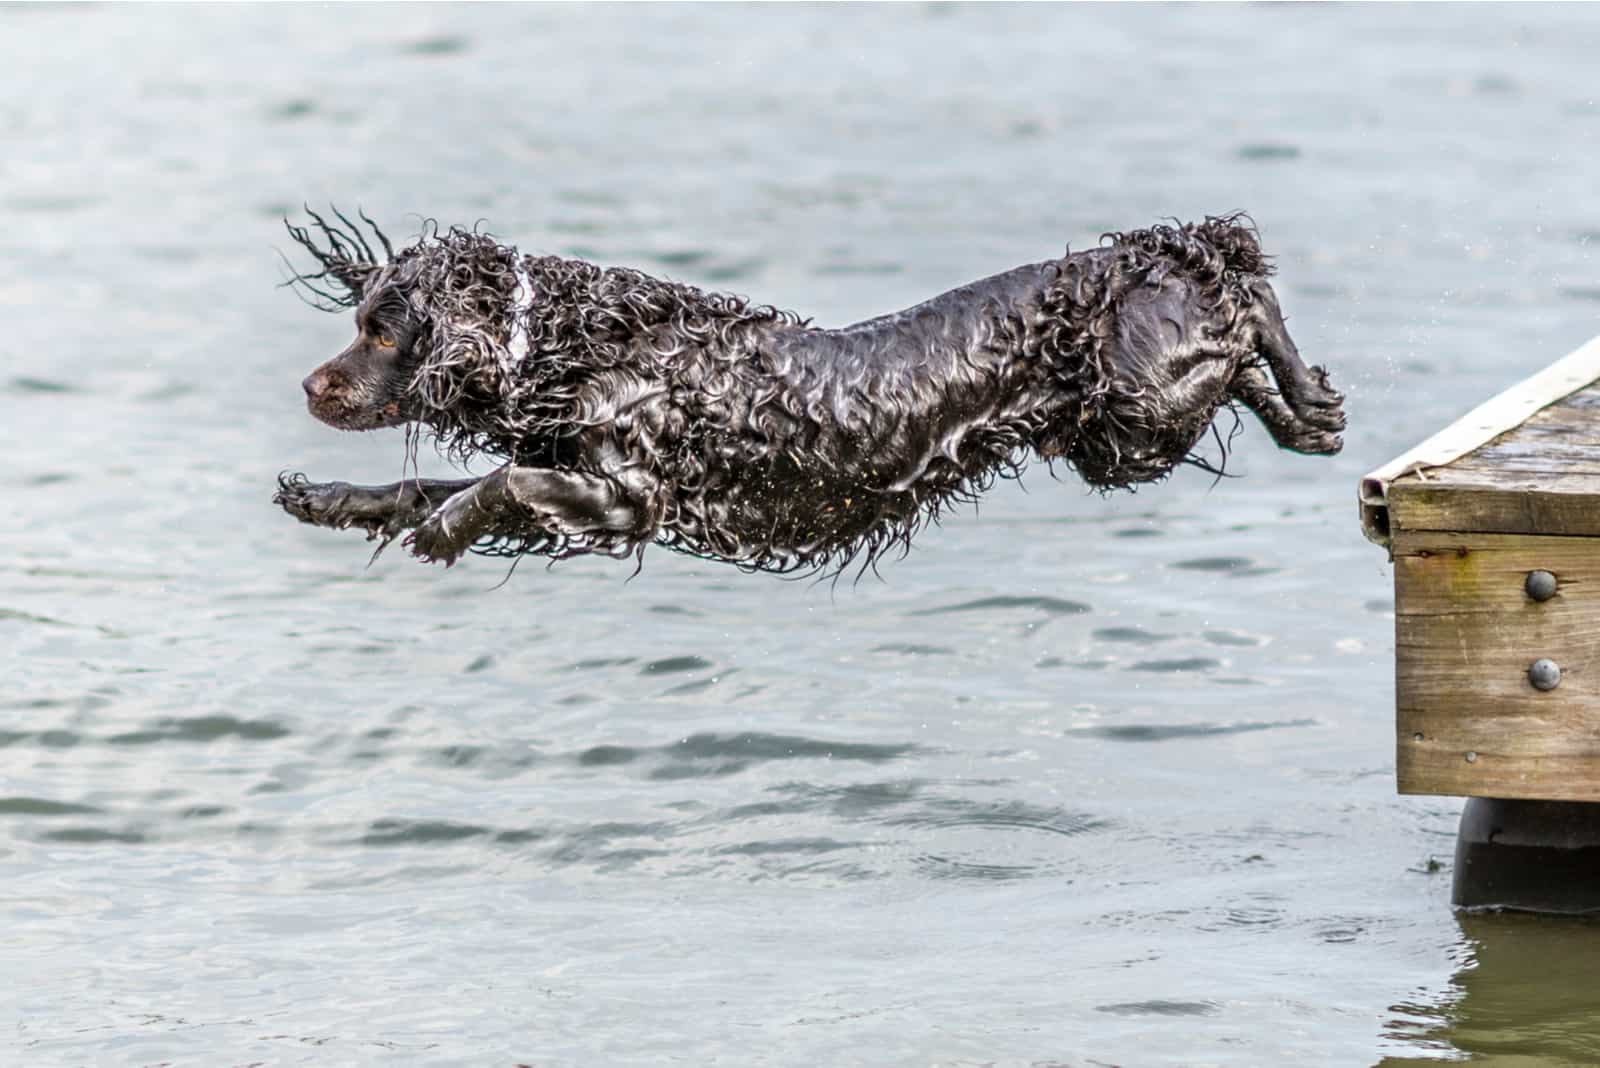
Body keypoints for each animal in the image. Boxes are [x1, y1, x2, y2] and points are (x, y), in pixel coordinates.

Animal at [272, 211, 1337, 575]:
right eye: (357, 316)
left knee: (1248, 301)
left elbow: (498, 484)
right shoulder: (576, 484)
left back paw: (1310, 404)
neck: (571, 343)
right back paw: (1313, 414)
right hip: (1129, 425)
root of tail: (1145, 256)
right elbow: (424, 486)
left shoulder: (627, 498)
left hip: (1137, 413)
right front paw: (328, 500)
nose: (310, 385)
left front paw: (441, 532)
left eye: (380, 331)